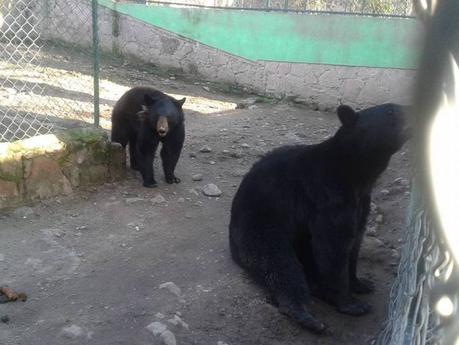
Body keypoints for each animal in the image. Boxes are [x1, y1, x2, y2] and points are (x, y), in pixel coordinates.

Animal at [228, 103, 412, 334]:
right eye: (390, 111)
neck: (355, 172)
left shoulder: (361, 201)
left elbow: (355, 241)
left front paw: (361, 283)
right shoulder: (327, 196)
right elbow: (332, 245)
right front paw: (351, 303)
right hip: (259, 221)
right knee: (278, 260)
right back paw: (306, 315)